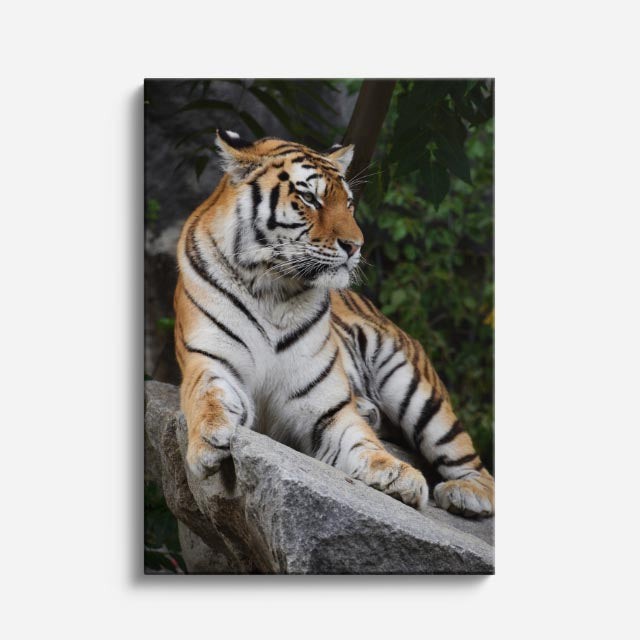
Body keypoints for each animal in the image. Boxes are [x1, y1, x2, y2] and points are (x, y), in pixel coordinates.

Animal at [174, 129, 494, 518]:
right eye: (309, 198)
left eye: (349, 203)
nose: (356, 246)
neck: (271, 288)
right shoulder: (210, 362)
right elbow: (208, 396)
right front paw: (210, 439)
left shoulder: (325, 406)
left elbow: (359, 441)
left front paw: (397, 474)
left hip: (415, 387)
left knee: (474, 464)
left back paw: (467, 494)